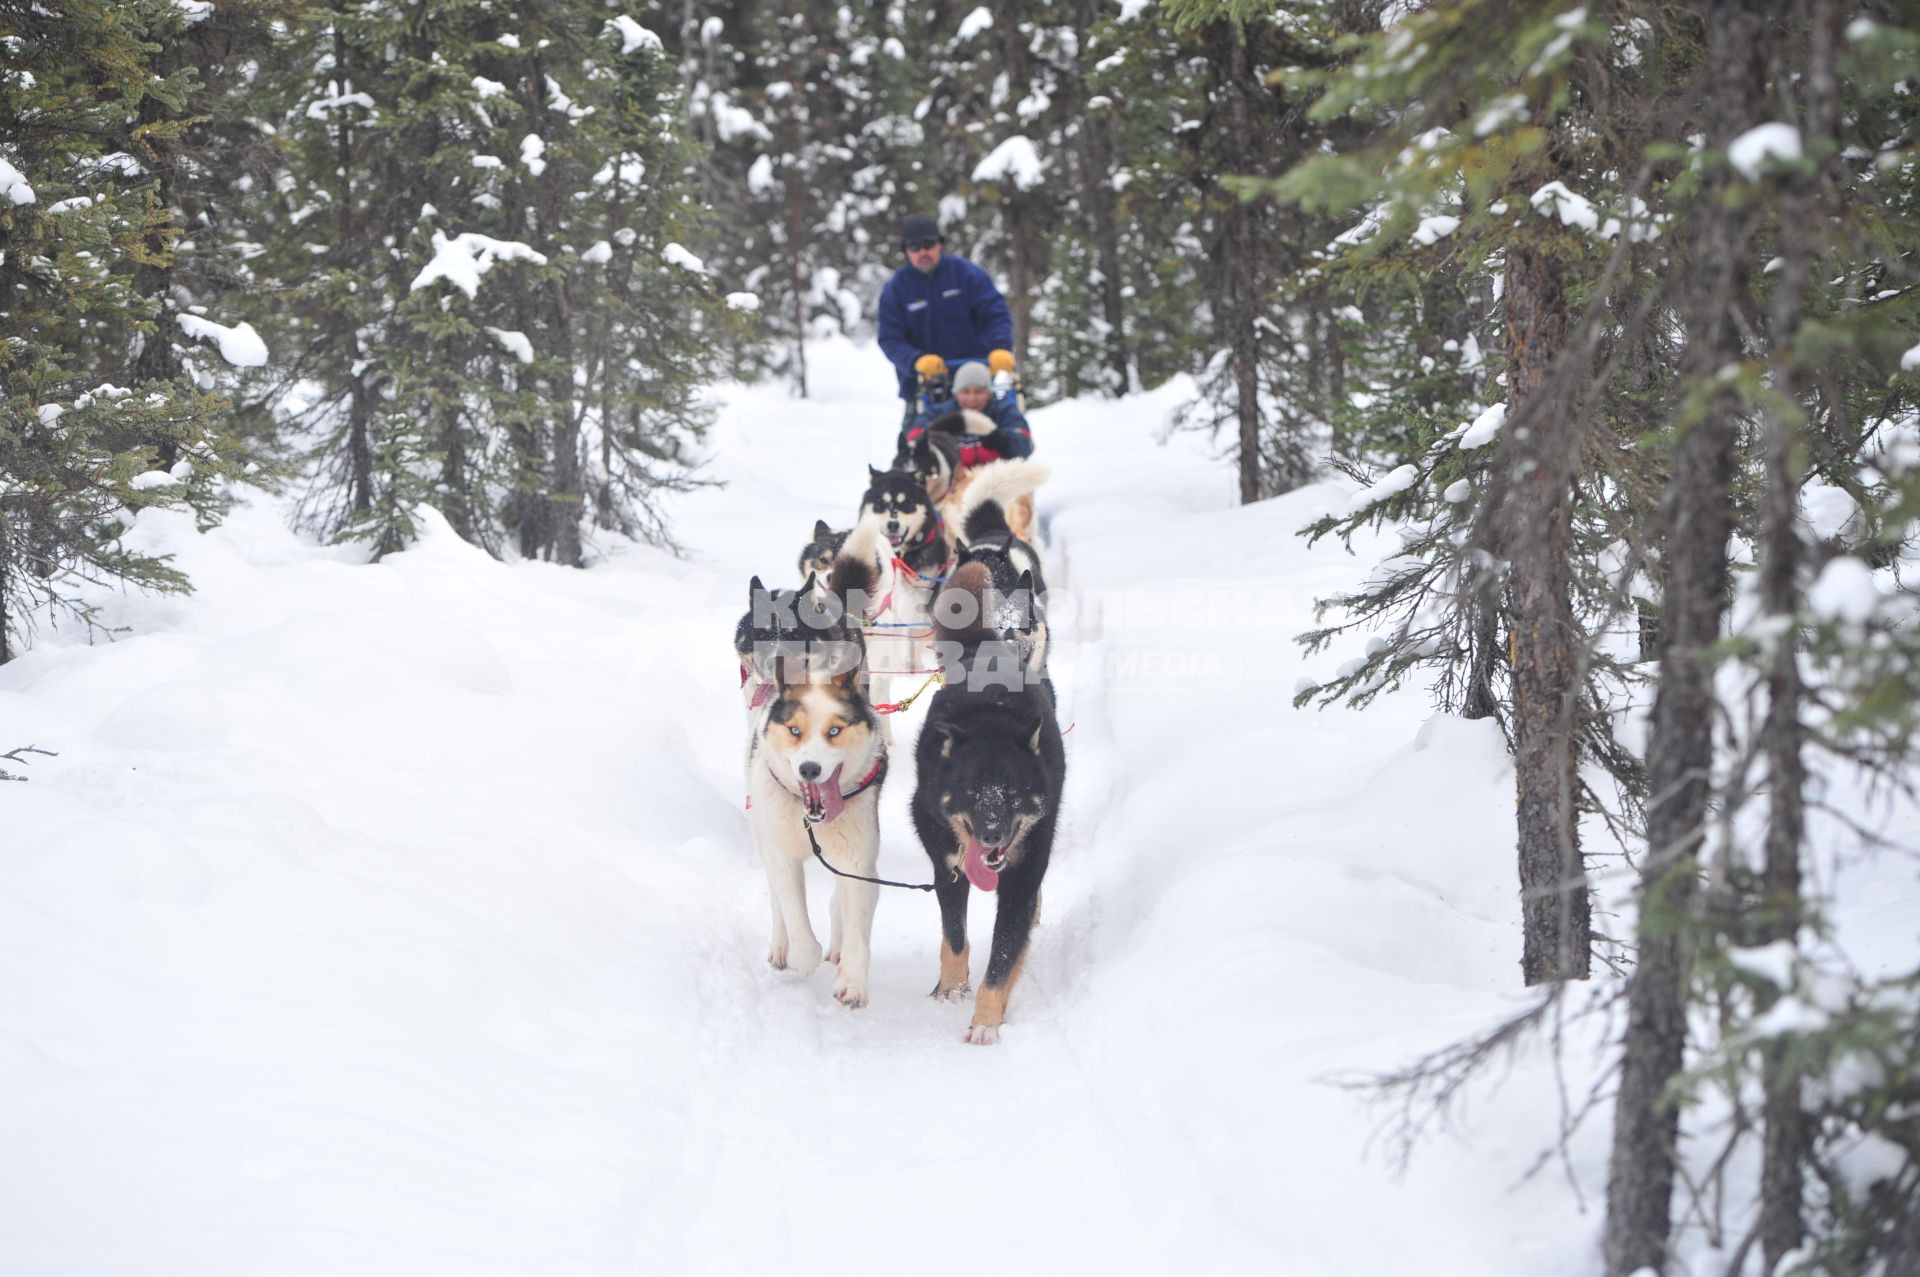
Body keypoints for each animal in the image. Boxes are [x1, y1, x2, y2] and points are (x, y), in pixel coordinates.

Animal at [741, 526, 890, 1006]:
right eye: (794, 730)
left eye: (835, 731)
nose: (809, 770)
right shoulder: (782, 854)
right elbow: (792, 911)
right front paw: (801, 956)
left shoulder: (858, 858)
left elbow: (857, 916)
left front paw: (853, 980)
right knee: (778, 902)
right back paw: (782, 946)